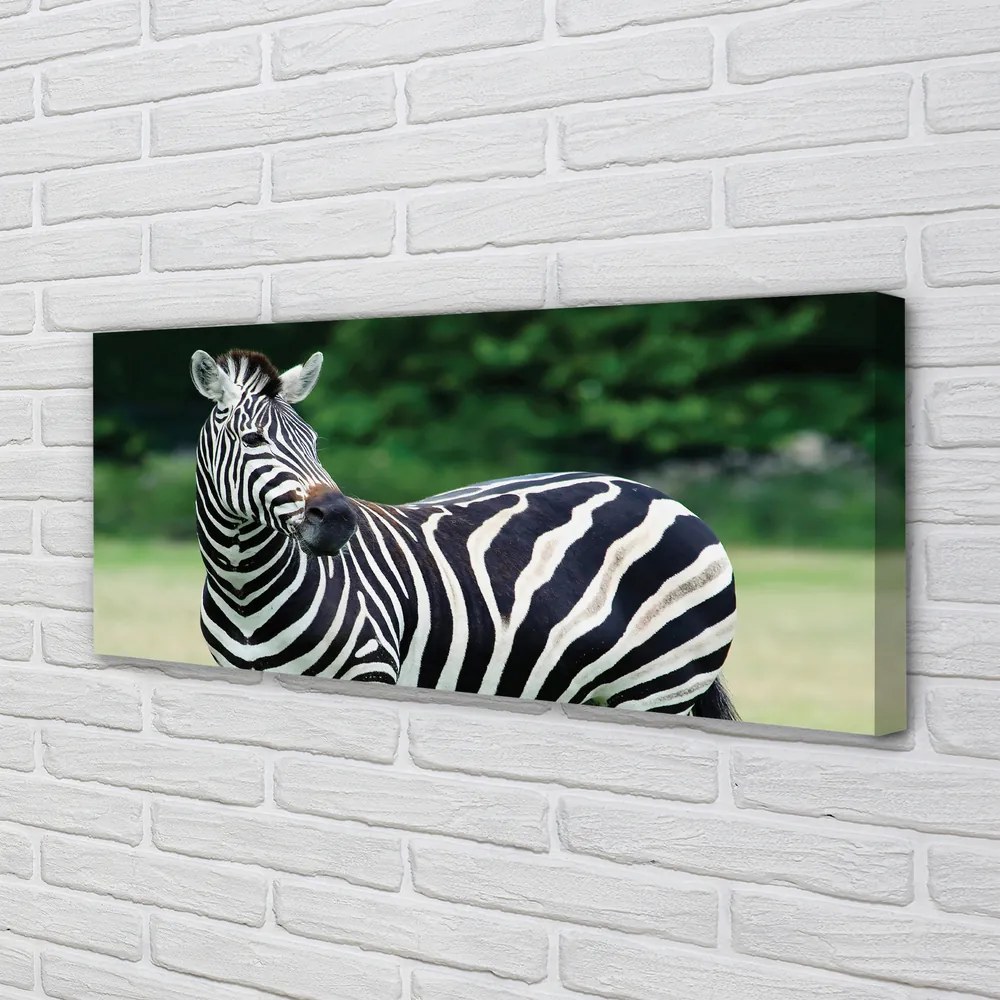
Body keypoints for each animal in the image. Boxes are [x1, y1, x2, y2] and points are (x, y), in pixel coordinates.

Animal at [190, 348, 738, 718]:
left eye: (313, 440)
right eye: (252, 439)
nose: (341, 519)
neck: (245, 588)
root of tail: (663, 496)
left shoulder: (371, 672)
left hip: (661, 689)